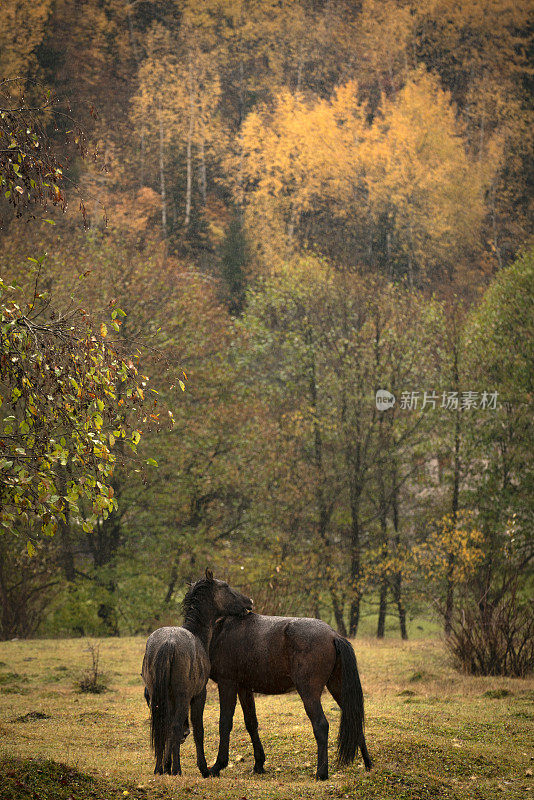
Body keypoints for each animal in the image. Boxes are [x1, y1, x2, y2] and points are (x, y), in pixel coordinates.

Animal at [141, 572, 252, 780]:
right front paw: (203, 768)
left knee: (162, 726)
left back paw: (160, 768)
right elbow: (198, 730)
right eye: (226, 586)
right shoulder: (199, 696)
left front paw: (166, 766)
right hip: (184, 697)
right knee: (176, 727)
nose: (249, 601)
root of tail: (168, 643)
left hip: (158, 697)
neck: (197, 635)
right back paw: (177, 769)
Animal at [209, 612, 372, 776]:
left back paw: (321, 773)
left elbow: (224, 722)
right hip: (338, 688)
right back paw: (368, 764)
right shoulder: (244, 687)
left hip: (309, 693)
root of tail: (333, 635)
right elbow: (251, 723)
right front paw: (259, 764)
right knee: (354, 720)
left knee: (321, 725)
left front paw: (218, 765)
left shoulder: (227, 683)